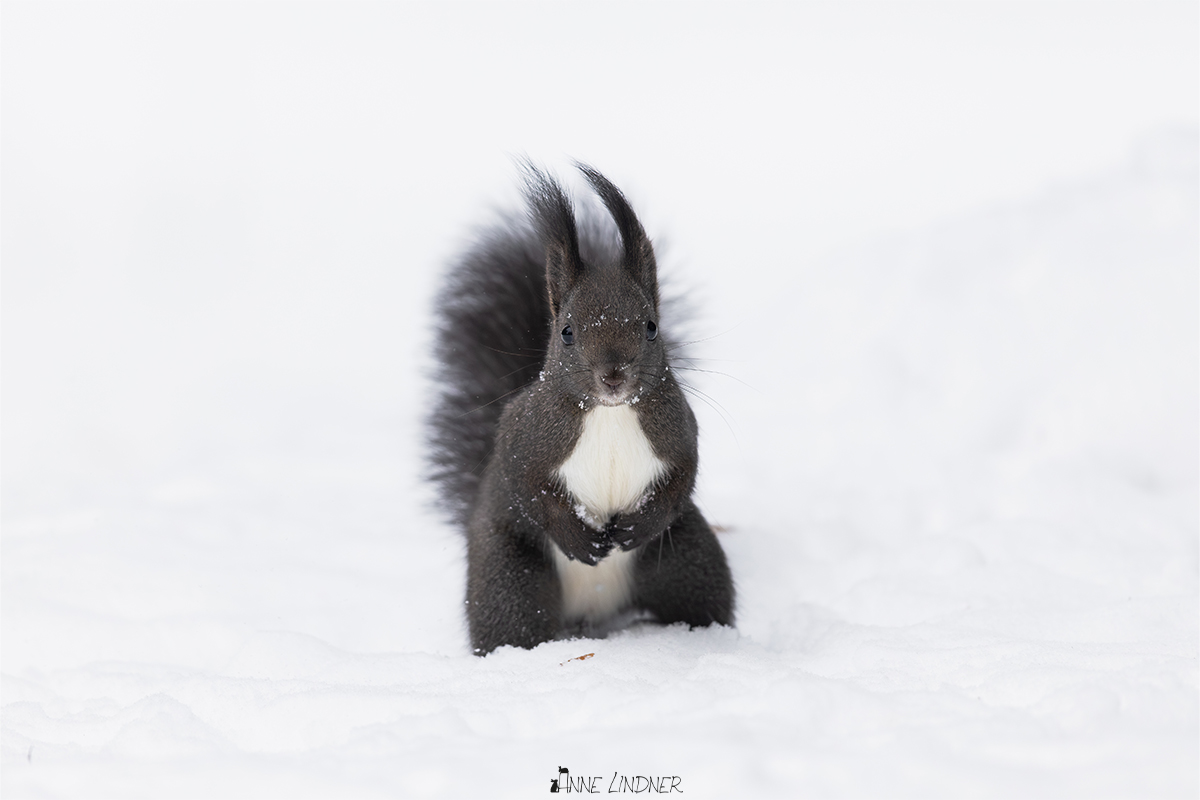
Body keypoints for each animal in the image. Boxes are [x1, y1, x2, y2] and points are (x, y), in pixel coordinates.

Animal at [426, 162, 735, 655]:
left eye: (651, 326)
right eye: (567, 332)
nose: (613, 375)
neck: (609, 413)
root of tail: (595, 611)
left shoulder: (678, 428)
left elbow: (682, 476)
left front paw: (636, 526)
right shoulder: (525, 433)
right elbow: (526, 483)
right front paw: (577, 536)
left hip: (688, 559)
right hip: (508, 581)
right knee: (513, 623)